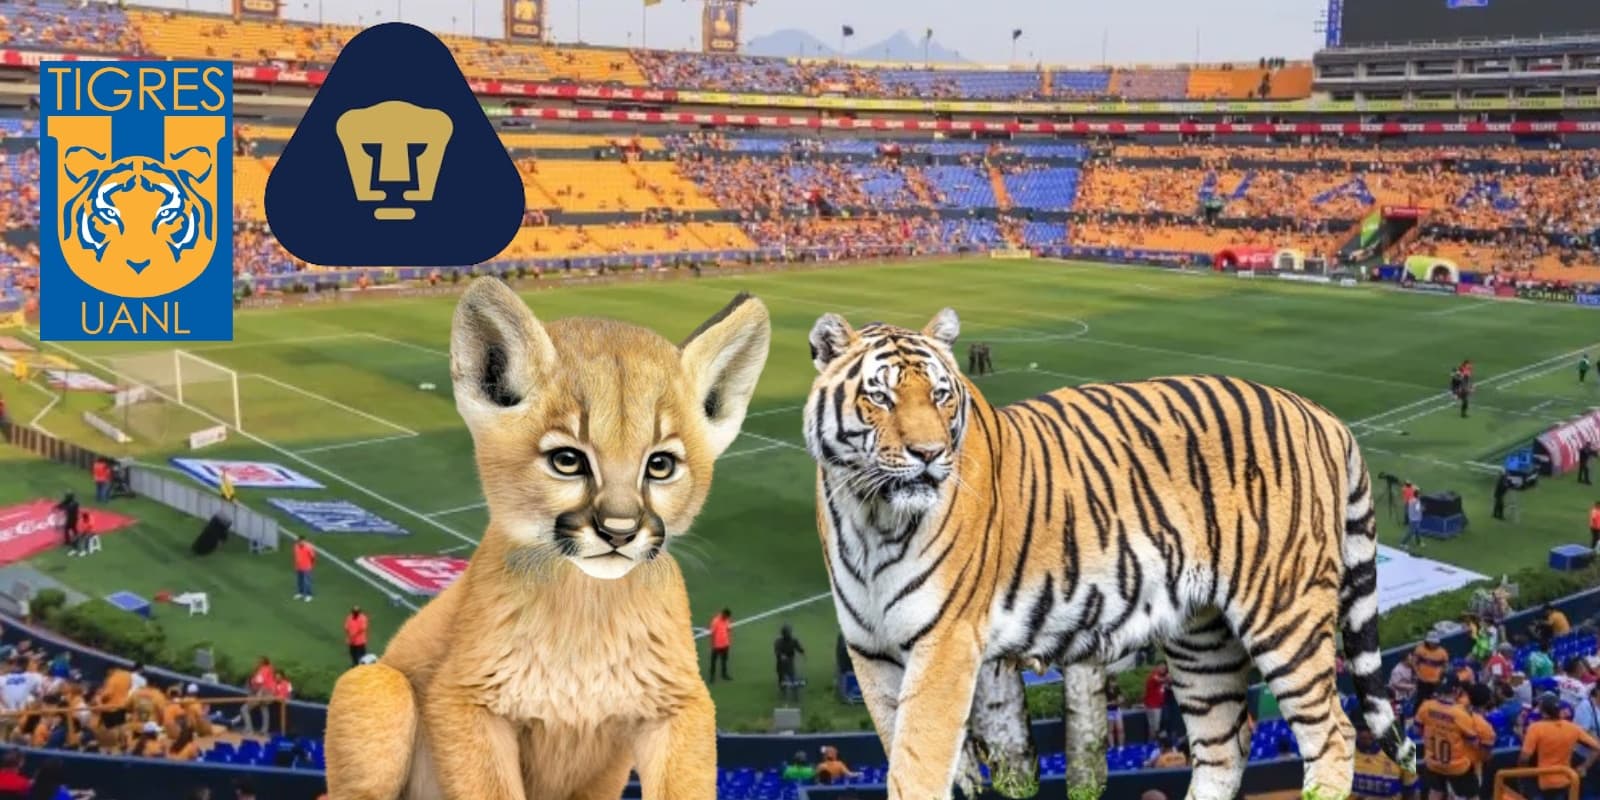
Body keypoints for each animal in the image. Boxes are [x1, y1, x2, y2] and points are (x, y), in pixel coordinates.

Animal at [325, 278, 771, 800]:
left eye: (661, 465)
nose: (619, 531)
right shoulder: (465, 701)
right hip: (378, 686)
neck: (587, 607)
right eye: (567, 460)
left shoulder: (677, 705)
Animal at [803, 307, 1412, 800]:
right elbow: (905, 750)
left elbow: (917, 765)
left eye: (940, 395)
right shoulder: (872, 653)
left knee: (1334, 732)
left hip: (1284, 612)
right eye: (879, 397)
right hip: (1202, 639)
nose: (928, 454)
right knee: (1224, 743)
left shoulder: (945, 646)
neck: (869, 517)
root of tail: (1322, 414)